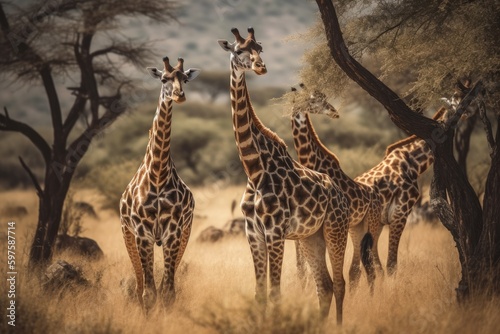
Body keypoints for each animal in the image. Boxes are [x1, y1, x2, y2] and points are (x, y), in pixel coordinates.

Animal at [120, 56, 200, 312]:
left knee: (165, 283)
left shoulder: (173, 232)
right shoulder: (141, 232)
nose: (179, 95)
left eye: (184, 79)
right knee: (139, 286)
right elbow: (148, 293)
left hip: (184, 233)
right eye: (164, 79)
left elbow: (167, 292)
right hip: (127, 233)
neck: (157, 175)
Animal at [217, 27, 350, 324]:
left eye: (260, 48)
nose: (261, 67)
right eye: (238, 50)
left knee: (339, 282)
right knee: (324, 284)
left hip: (336, 230)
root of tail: (341, 195)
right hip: (311, 237)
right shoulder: (253, 233)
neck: (254, 169)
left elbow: (275, 293)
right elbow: (259, 294)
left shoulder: (275, 232)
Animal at [290, 84, 382, 288]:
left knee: (372, 267)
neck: (310, 160)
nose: (334, 111)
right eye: (315, 100)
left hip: (371, 226)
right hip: (357, 228)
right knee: (361, 269)